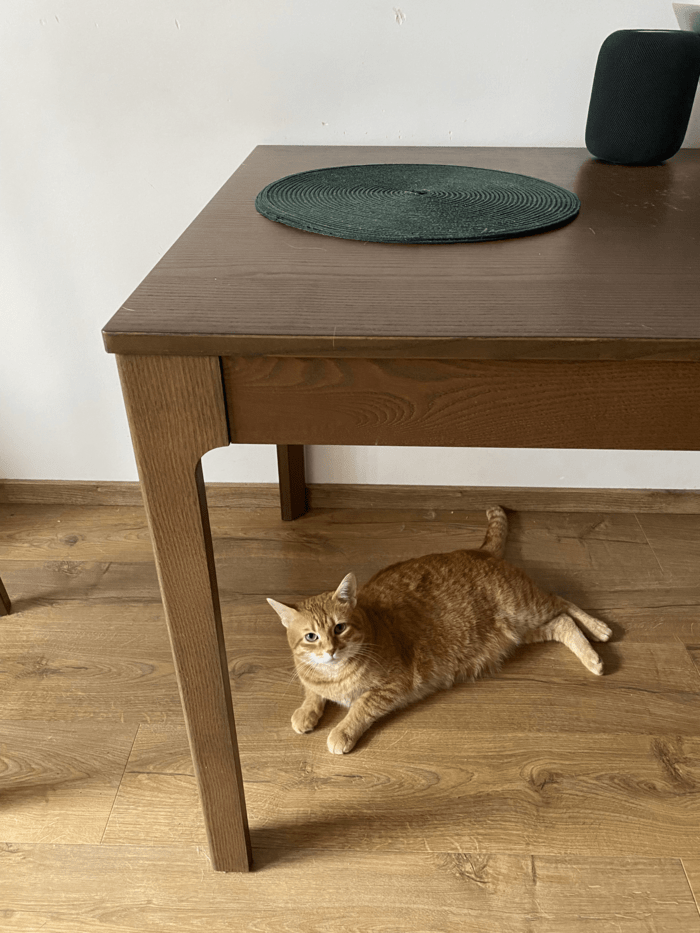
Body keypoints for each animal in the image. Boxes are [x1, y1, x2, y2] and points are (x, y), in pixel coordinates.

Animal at [268, 506, 612, 752]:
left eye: (339, 628)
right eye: (311, 637)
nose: (330, 650)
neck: (335, 676)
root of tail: (479, 550)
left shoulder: (392, 685)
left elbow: (360, 707)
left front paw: (341, 732)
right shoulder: (314, 679)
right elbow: (312, 692)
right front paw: (306, 712)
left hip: (525, 607)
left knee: (564, 603)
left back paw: (599, 633)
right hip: (523, 629)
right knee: (562, 622)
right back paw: (591, 653)